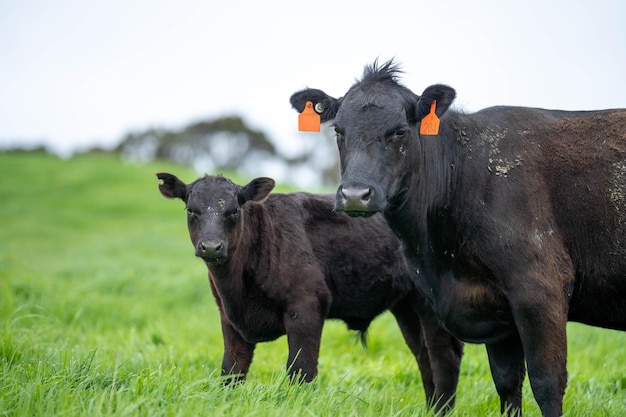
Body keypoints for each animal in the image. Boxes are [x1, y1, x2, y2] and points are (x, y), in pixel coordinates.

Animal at [154, 171, 460, 410]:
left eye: (234, 210)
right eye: (191, 210)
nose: (211, 246)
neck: (238, 290)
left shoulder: (307, 307)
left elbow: (301, 369)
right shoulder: (230, 318)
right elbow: (231, 371)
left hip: (430, 305)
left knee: (443, 357)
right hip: (406, 307)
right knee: (424, 356)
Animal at [292, 59, 624, 416]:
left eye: (400, 130)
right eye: (338, 131)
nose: (355, 195)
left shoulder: (540, 287)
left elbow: (547, 382)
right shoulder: (491, 312)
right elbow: (507, 384)